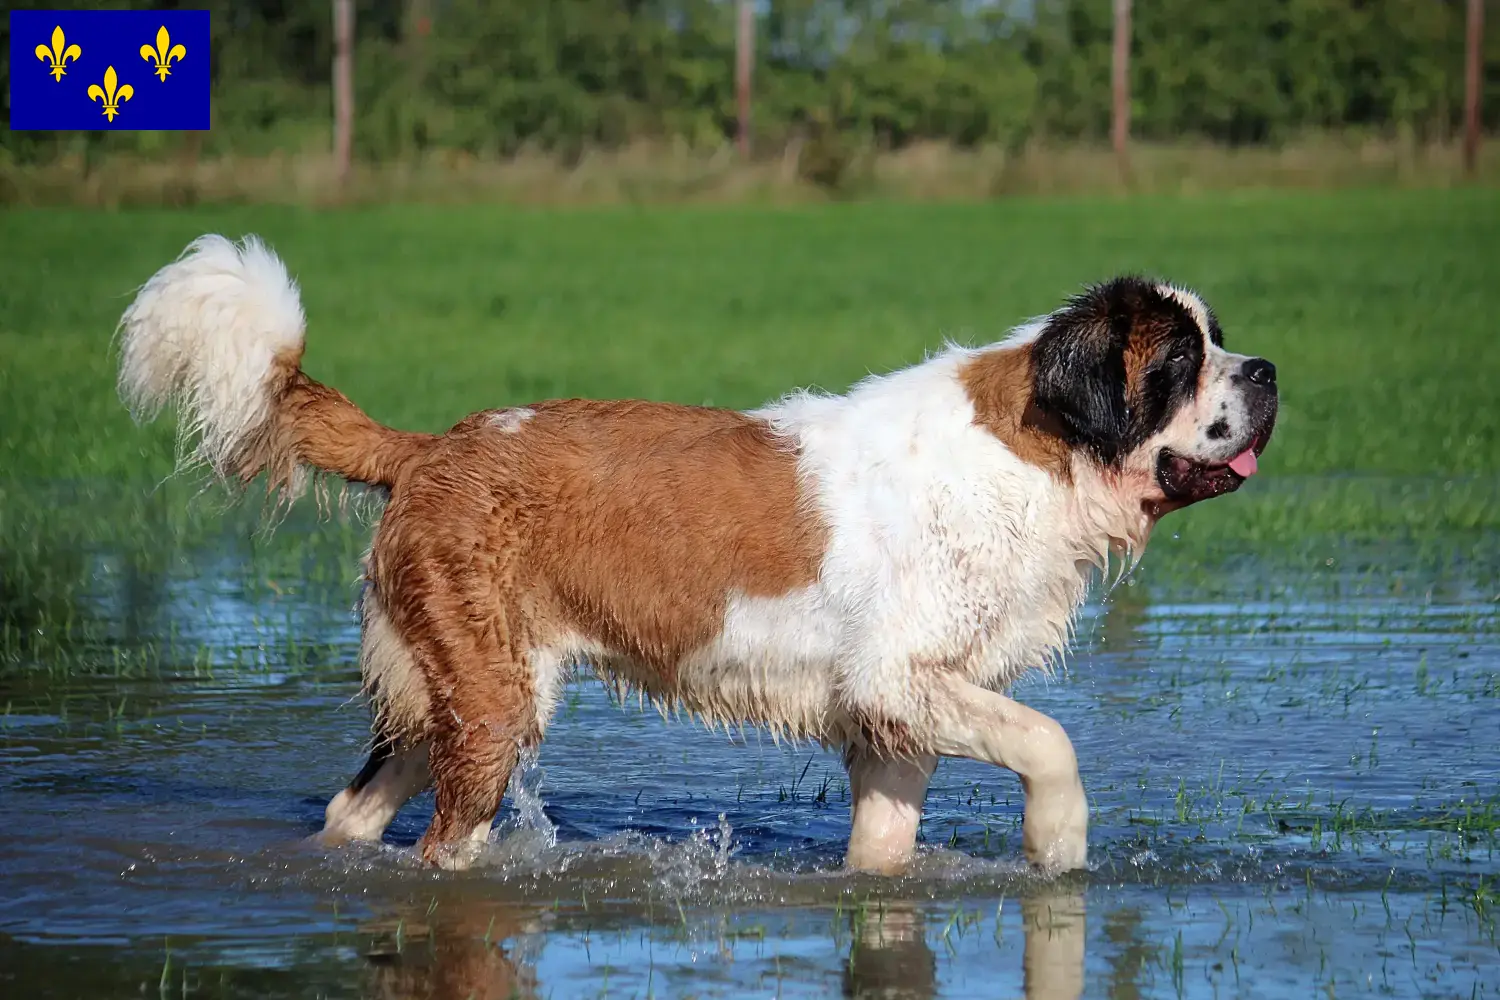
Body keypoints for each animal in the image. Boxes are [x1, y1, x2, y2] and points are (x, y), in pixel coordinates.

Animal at [114, 235, 1278, 875]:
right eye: (1180, 361)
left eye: (1222, 338)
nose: (1265, 370)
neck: (1039, 448)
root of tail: (433, 444)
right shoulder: (899, 676)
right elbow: (1051, 742)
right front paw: (1058, 851)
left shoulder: (893, 719)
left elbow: (884, 843)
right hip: (492, 705)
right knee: (448, 841)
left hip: (449, 693)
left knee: (354, 808)